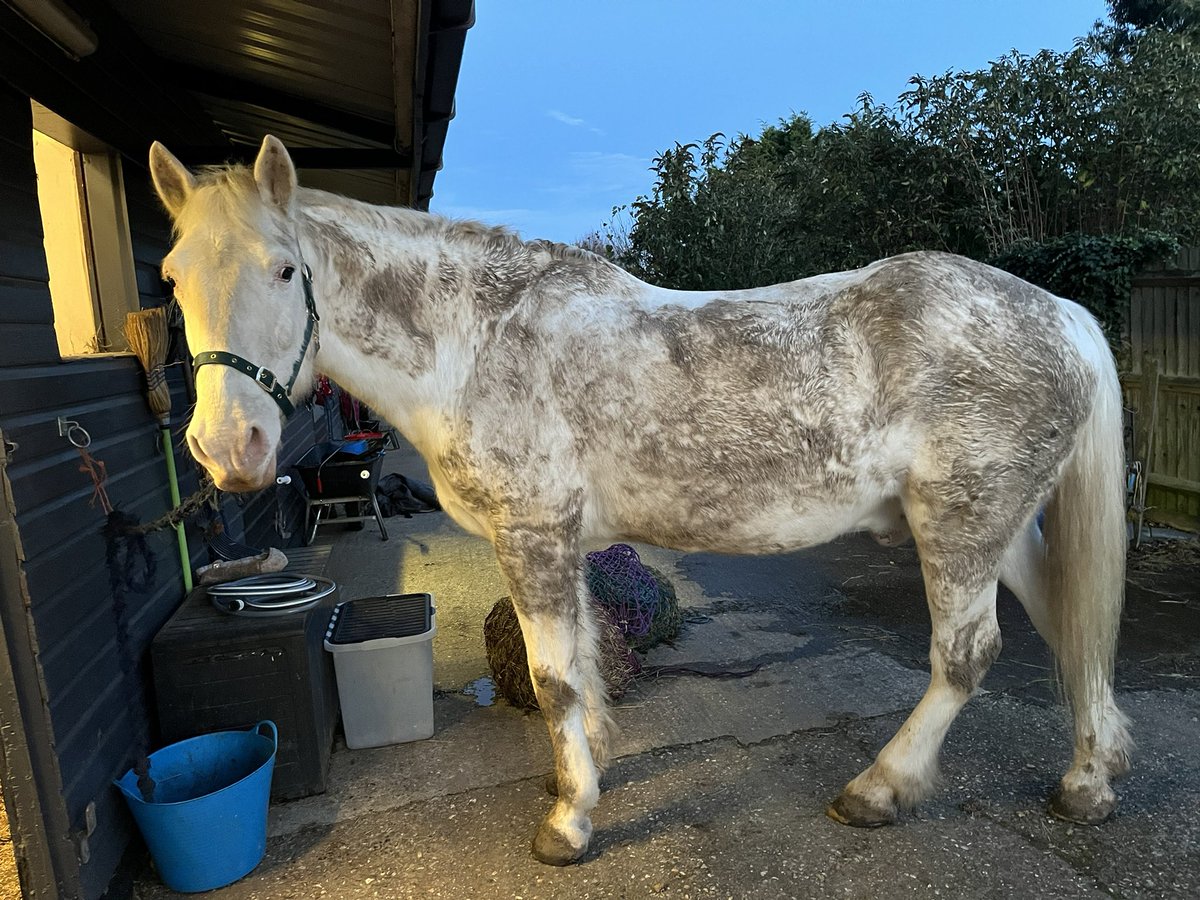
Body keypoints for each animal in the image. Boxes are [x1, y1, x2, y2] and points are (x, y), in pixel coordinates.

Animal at [149, 135, 1132, 866]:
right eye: (170, 277)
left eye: (285, 270)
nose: (227, 448)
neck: (480, 342)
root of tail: (1064, 315)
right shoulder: (565, 541)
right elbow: (582, 668)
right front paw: (582, 780)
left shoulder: (533, 532)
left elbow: (551, 678)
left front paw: (567, 825)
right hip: (998, 526)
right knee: (1070, 623)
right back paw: (1089, 781)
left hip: (959, 524)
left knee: (968, 656)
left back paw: (879, 790)